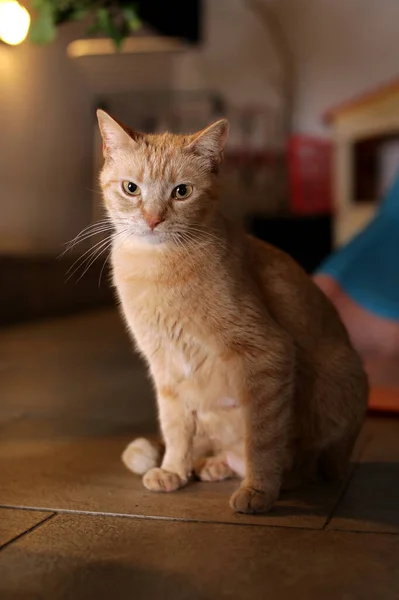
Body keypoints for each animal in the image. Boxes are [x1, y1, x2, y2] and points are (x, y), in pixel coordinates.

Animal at [96, 111, 368, 516]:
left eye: (181, 191)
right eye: (131, 188)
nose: (153, 219)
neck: (156, 268)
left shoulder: (267, 352)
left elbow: (263, 438)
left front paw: (259, 490)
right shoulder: (164, 368)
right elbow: (174, 427)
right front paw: (173, 470)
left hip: (340, 382)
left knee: (312, 465)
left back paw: (275, 477)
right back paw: (211, 465)